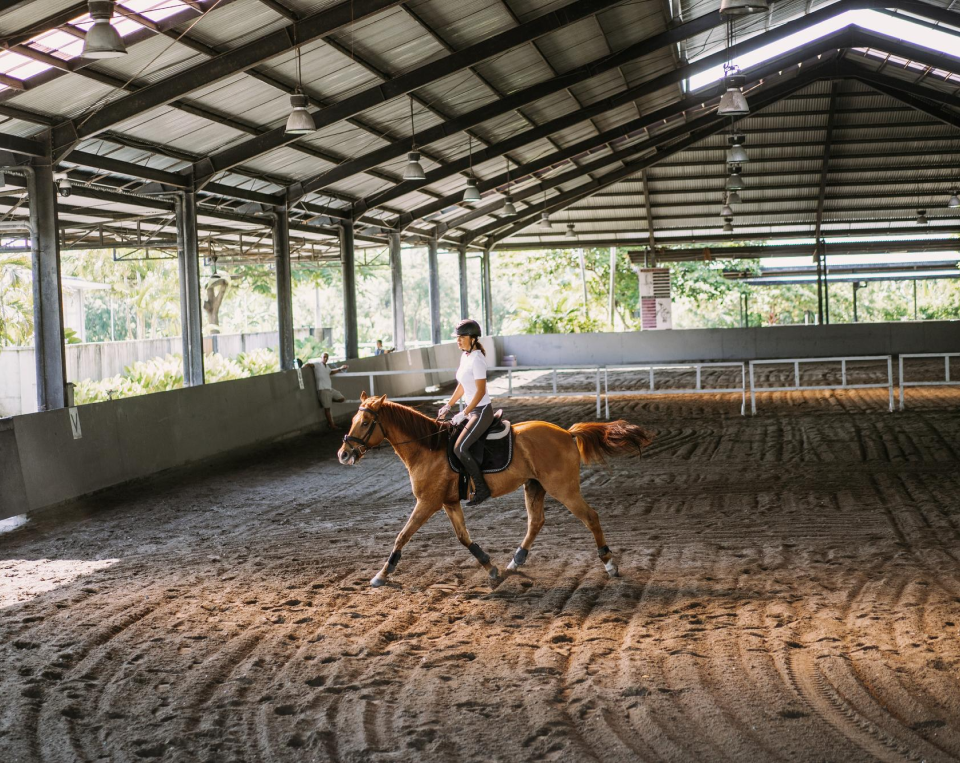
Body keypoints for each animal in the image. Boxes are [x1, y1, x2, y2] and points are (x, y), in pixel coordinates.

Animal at [336, 390, 652, 588]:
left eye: (365, 422)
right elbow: (464, 539)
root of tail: (566, 433)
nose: (343, 454)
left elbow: (402, 536)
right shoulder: (449, 503)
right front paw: (492, 569)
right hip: (534, 486)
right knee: (536, 522)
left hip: (563, 488)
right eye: (352, 420)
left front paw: (381, 574)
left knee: (590, 517)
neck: (428, 448)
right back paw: (514, 562)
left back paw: (609, 564)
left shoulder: (428, 502)